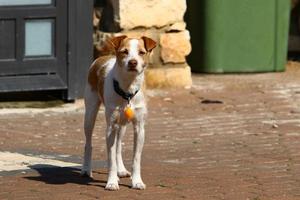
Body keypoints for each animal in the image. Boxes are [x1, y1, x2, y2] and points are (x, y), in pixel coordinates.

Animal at [81, 35, 157, 191]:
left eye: (141, 52)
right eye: (124, 51)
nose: (133, 62)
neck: (128, 90)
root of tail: (101, 58)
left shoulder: (139, 128)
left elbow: (135, 158)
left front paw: (137, 181)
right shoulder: (110, 127)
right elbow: (111, 159)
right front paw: (111, 182)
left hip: (122, 125)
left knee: (118, 146)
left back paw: (121, 170)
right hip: (90, 114)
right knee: (88, 143)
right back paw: (86, 169)